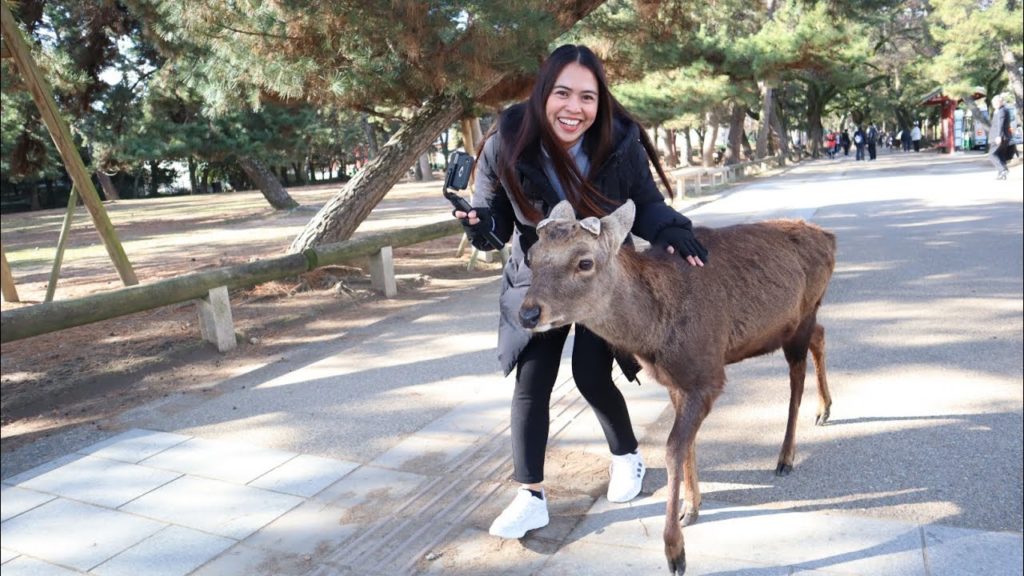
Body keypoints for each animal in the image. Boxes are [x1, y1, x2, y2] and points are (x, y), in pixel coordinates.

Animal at [518, 200, 836, 575]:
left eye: (585, 262)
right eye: (531, 256)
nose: (527, 314)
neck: (652, 334)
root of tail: (830, 238)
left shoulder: (707, 377)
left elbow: (672, 449)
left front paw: (675, 551)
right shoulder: (675, 382)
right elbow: (688, 445)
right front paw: (691, 508)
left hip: (801, 317)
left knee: (796, 379)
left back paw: (786, 455)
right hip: (796, 324)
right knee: (821, 335)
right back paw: (825, 409)